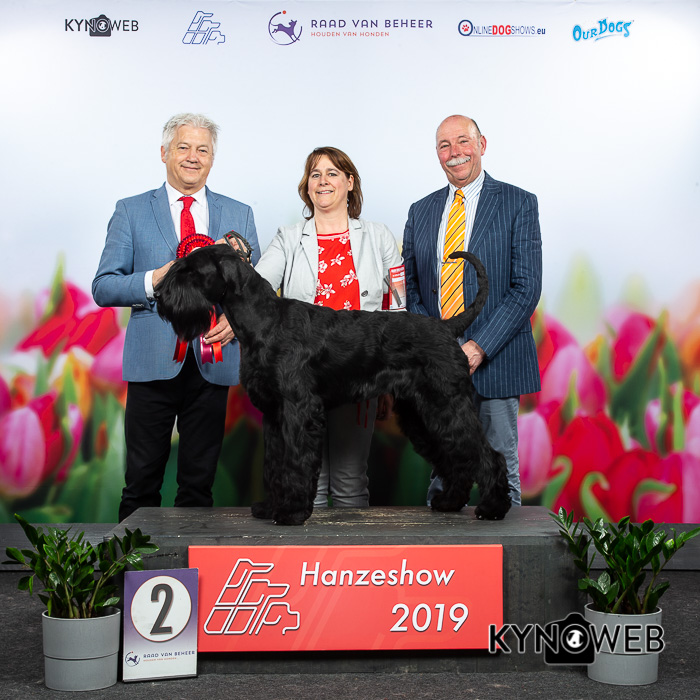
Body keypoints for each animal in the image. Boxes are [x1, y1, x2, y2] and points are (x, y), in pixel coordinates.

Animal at [155, 243, 511, 526]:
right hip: (421, 415)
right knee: (457, 456)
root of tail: (447, 327)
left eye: (190, 271)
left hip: (446, 404)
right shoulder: (274, 415)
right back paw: (450, 502)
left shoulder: (299, 410)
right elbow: (275, 464)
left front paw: (292, 512)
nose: (158, 294)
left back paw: (493, 508)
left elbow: (295, 461)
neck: (265, 322)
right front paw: (271, 506)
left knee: (487, 455)